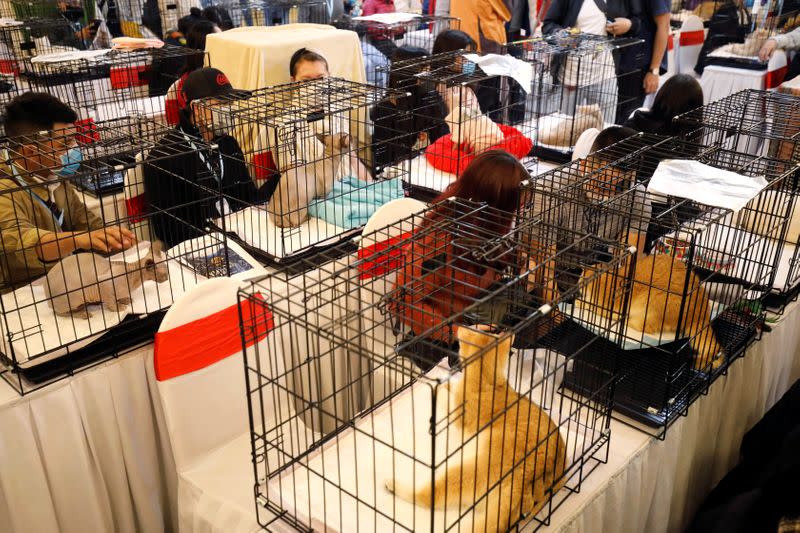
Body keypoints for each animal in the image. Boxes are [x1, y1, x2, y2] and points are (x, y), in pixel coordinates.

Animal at [384, 324, 564, 532]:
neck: (487, 383)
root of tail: (524, 479)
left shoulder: (456, 412)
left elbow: (447, 397)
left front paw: (440, 386)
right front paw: (447, 382)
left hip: (462, 472)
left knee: (427, 497)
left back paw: (393, 484)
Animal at [580, 254, 724, 370]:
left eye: (581, 277)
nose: (579, 282)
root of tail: (701, 311)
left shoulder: (607, 307)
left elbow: (590, 305)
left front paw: (580, 301)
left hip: (651, 304)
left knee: (643, 326)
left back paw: (626, 320)